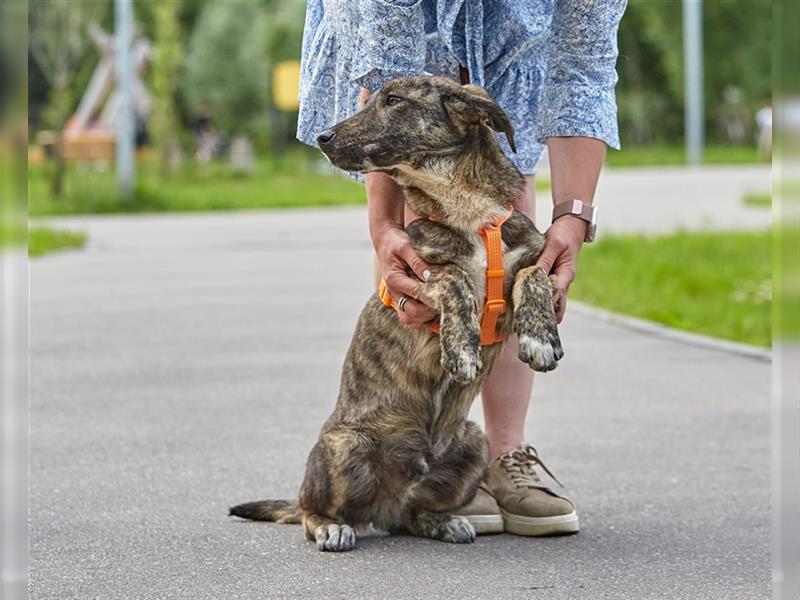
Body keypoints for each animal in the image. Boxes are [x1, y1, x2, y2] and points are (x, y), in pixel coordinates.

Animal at [230, 76, 564, 552]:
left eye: (393, 100)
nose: (322, 137)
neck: (467, 207)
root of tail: (384, 503)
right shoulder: (416, 274)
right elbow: (456, 280)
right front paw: (462, 350)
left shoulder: (533, 261)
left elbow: (534, 275)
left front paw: (540, 339)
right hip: (344, 446)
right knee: (309, 509)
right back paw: (331, 526)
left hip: (474, 444)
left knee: (411, 513)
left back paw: (442, 522)